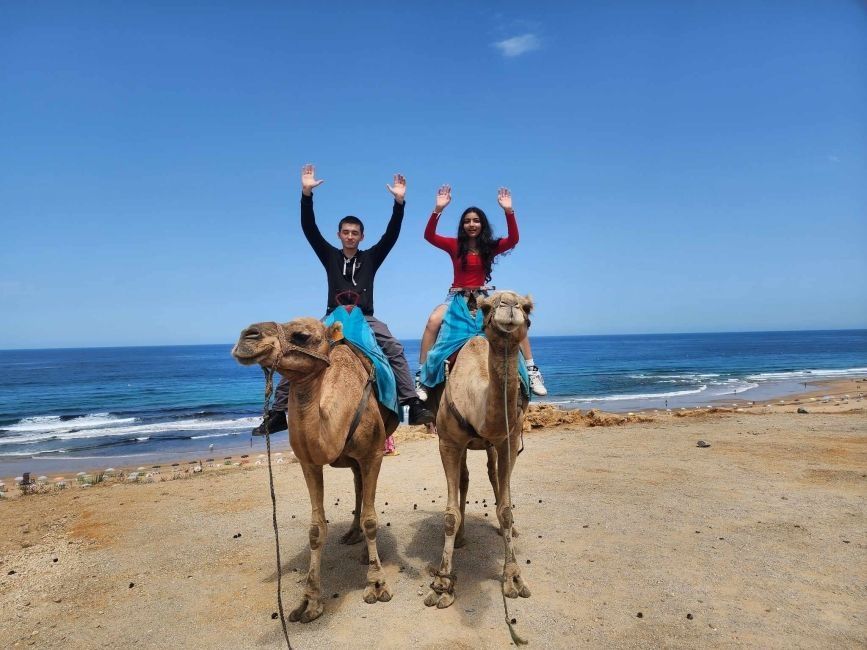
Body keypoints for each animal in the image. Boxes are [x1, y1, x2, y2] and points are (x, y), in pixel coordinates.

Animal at [234, 312, 404, 620]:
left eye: (301, 335)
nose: (248, 336)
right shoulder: (309, 462)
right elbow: (315, 529)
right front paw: (309, 601)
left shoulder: (373, 454)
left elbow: (372, 519)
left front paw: (376, 585)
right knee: (358, 485)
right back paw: (352, 534)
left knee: (365, 494)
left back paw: (366, 553)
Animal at [422, 292, 536, 612]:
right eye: (487, 306)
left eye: (527, 306)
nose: (508, 305)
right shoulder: (448, 442)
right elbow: (450, 514)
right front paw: (443, 584)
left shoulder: (507, 440)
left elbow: (506, 509)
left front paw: (513, 578)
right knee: (464, 478)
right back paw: (461, 538)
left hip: (493, 445)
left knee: (492, 475)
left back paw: (510, 531)